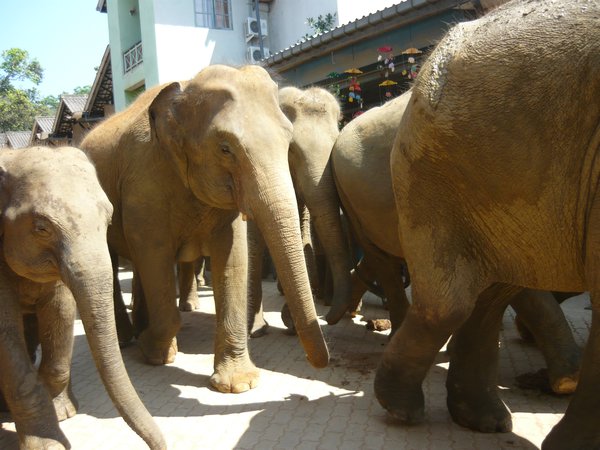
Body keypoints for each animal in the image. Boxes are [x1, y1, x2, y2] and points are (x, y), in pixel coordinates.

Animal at [0, 146, 164, 448]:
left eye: (109, 219)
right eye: (41, 228)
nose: (160, 445)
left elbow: (61, 310)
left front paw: (63, 413)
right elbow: (5, 333)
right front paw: (49, 444)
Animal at [80, 64, 330, 394]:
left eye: (288, 142)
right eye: (225, 149)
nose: (320, 363)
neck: (185, 89)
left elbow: (233, 256)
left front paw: (238, 384)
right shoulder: (142, 184)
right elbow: (153, 254)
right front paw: (155, 354)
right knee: (114, 263)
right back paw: (127, 339)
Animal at [247, 86, 354, 336]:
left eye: (335, 144)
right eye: (292, 150)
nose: (329, 319)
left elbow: (300, 223)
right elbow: (254, 237)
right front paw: (257, 329)